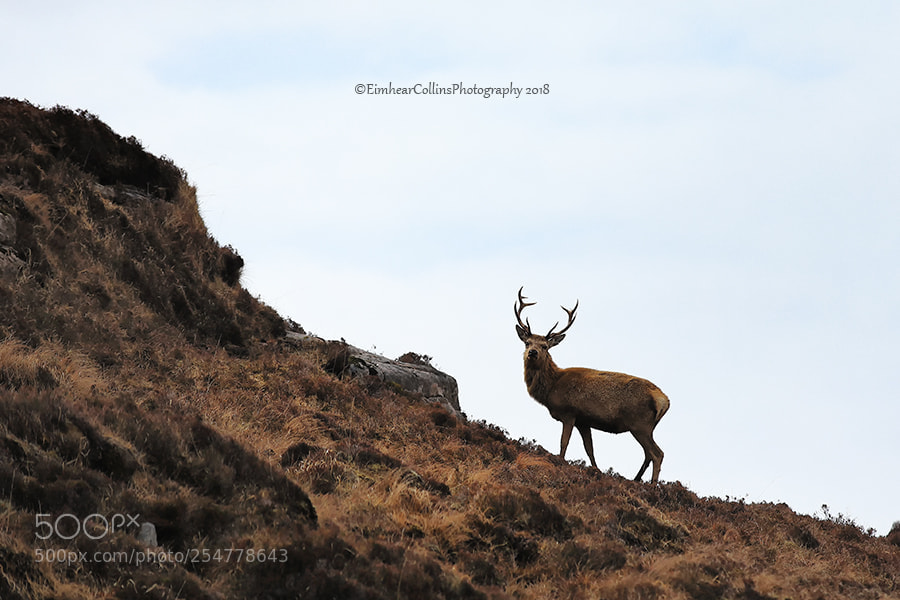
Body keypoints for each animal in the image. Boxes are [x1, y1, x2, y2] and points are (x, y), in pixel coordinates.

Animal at [514, 287, 670, 483]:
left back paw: (652, 484)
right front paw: (597, 470)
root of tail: (664, 400)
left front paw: (560, 462)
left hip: (640, 423)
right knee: (648, 454)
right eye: (527, 343)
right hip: (648, 427)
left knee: (657, 453)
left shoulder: (569, 412)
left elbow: (563, 443)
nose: (532, 352)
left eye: (545, 346)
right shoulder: (583, 420)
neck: (552, 388)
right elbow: (590, 449)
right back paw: (636, 479)